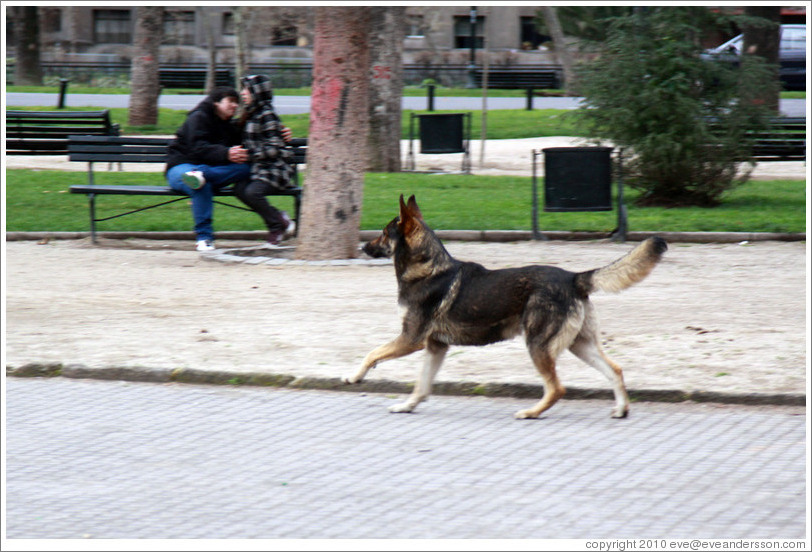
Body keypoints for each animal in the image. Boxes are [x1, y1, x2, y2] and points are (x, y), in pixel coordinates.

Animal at [342, 196, 668, 416]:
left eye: (384, 233)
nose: (362, 247)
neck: (428, 268)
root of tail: (573, 278)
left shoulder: (411, 340)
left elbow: (371, 354)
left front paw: (354, 377)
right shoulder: (435, 347)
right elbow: (422, 385)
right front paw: (407, 406)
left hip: (538, 345)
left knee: (557, 388)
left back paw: (531, 412)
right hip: (580, 345)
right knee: (615, 371)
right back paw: (621, 409)